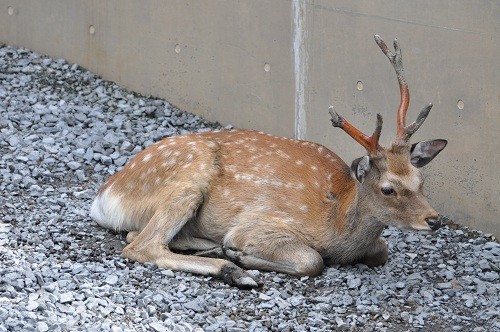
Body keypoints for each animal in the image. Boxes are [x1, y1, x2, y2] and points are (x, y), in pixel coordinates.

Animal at [91, 34, 450, 288]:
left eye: (421, 181)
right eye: (388, 189)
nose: (434, 220)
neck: (336, 222)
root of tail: (104, 197)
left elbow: (382, 251)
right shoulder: (262, 224)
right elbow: (312, 260)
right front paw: (241, 254)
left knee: (142, 237)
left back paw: (220, 252)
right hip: (188, 179)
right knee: (141, 244)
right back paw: (233, 268)